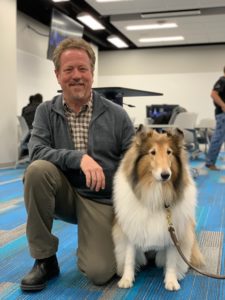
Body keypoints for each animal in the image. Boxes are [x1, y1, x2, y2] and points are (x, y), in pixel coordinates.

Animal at [112, 126, 204, 290]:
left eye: (169, 152)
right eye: (152, 152)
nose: (165, 175)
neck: (156, 192)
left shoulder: (174, 234)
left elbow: (172, 261)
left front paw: (171, 281)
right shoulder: (131, 230)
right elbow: (129, 257)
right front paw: (126, 279)